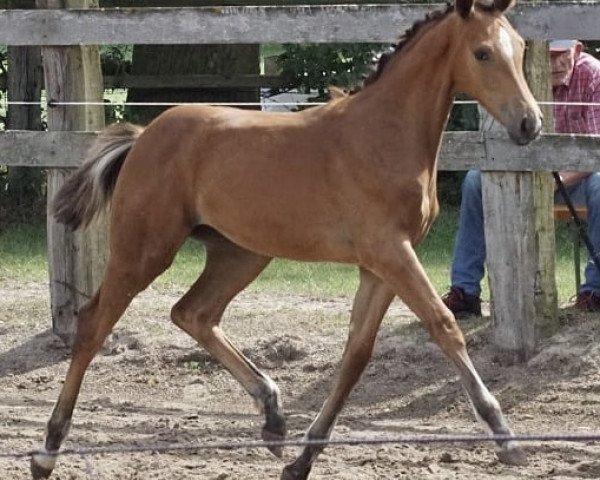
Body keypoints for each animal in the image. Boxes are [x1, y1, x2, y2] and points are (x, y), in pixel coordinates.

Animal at [32, 0, 544, 478]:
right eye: (481, 53)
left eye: (520, 49)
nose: (530, 124)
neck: (384, 135)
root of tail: (142, 137)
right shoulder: (390, 251)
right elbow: (444, 325)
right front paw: (505, 437)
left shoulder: (378, 265)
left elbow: (357, 354)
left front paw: (301, 460)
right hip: (144, 249)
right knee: (93, 323)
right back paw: (47, 451)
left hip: (241, 253)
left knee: (193, 313)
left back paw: (273, 415)